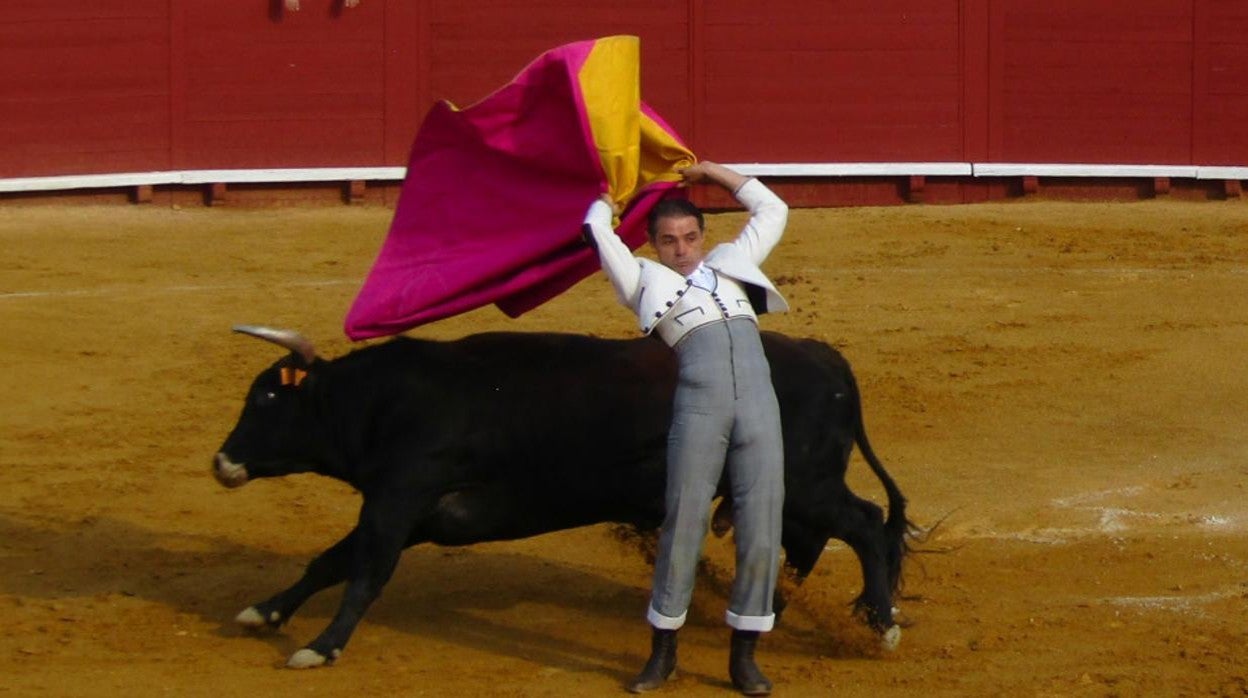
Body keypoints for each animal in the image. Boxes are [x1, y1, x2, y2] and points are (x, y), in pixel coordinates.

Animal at [214, 327, 913, 664]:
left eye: (268, 398)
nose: (222, 462)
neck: (388, 399)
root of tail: (823, 357)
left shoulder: (397, 499)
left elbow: (363, 574)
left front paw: (320, 646)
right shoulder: (407, 512)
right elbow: (329, 562)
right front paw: (264, 612)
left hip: (808, 483)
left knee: (864, 524)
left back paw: (881, 626)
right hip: (793, 489)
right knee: (810, 541)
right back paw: (776, 609)